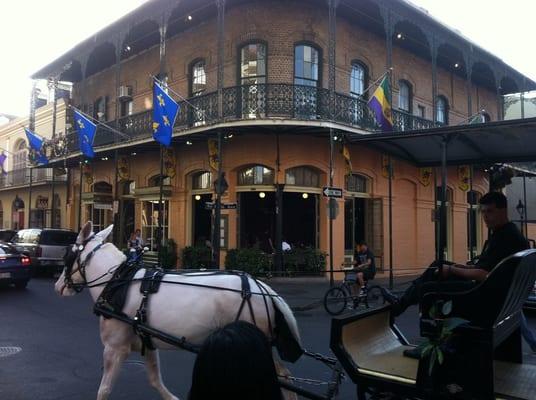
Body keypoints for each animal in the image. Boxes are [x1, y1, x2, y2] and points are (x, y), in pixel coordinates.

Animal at [56, 222, 304, 400]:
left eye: (68, 255)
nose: (58, 286)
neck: (117, 282)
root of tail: (262, 288)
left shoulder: (115, 348)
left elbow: (104, 389)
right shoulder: (147, 339)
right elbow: (155, 380)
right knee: (285, 375)